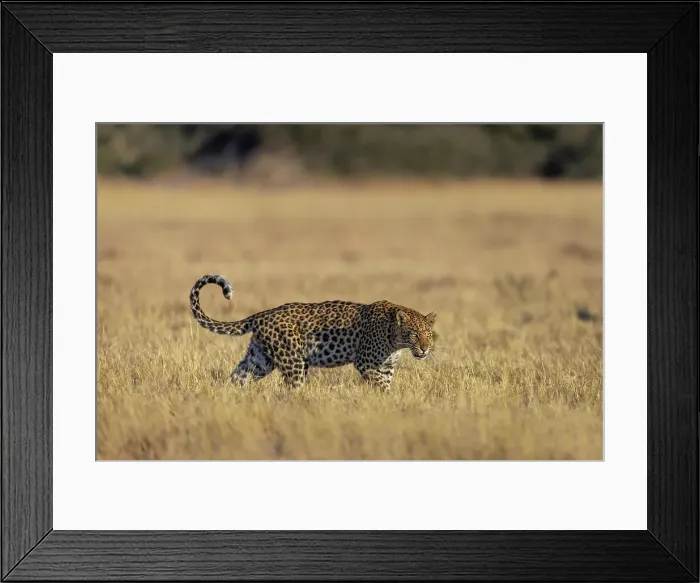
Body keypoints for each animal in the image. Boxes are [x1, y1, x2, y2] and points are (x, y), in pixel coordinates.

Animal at [189, 274, 437, 390]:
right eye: (414, 333)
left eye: (428, 334)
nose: (425, 349)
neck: (395, 342)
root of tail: (262, 314)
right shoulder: (366, 363)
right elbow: (380, 386)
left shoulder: (386, 367)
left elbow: (385, 385)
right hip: (294, 363)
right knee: (292, 389)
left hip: (259, 359)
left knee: (237, 378)